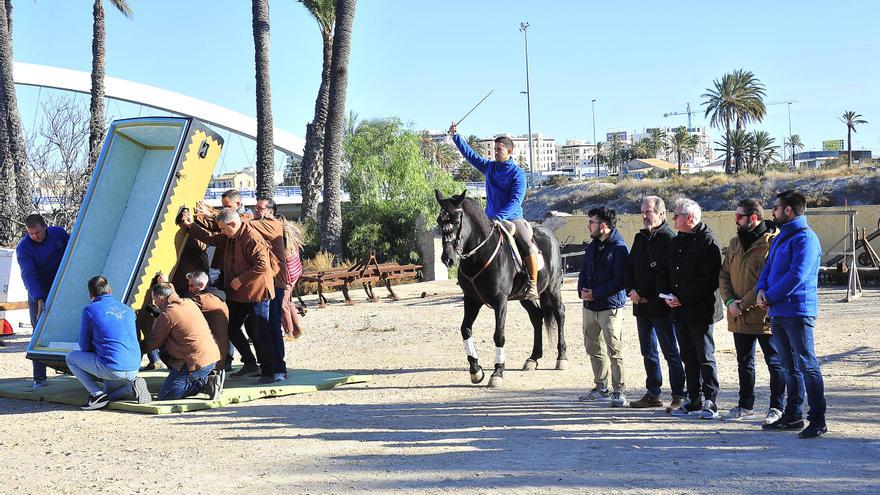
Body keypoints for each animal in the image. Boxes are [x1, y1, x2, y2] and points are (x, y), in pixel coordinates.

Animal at [434, 190, 572, 388]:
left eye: (456, 220)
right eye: (439, 220)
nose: (448, 258)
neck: (478, 256)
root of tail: (549, 234)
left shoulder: (500, 301)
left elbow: (499, 335)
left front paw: (497, 372)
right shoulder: (471, 300)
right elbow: (465, 329)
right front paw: (476, 370)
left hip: (552, 289)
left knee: (560, 313)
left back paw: (562, 357)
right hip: (525, 297)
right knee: (536, 317)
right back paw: (533, 358)